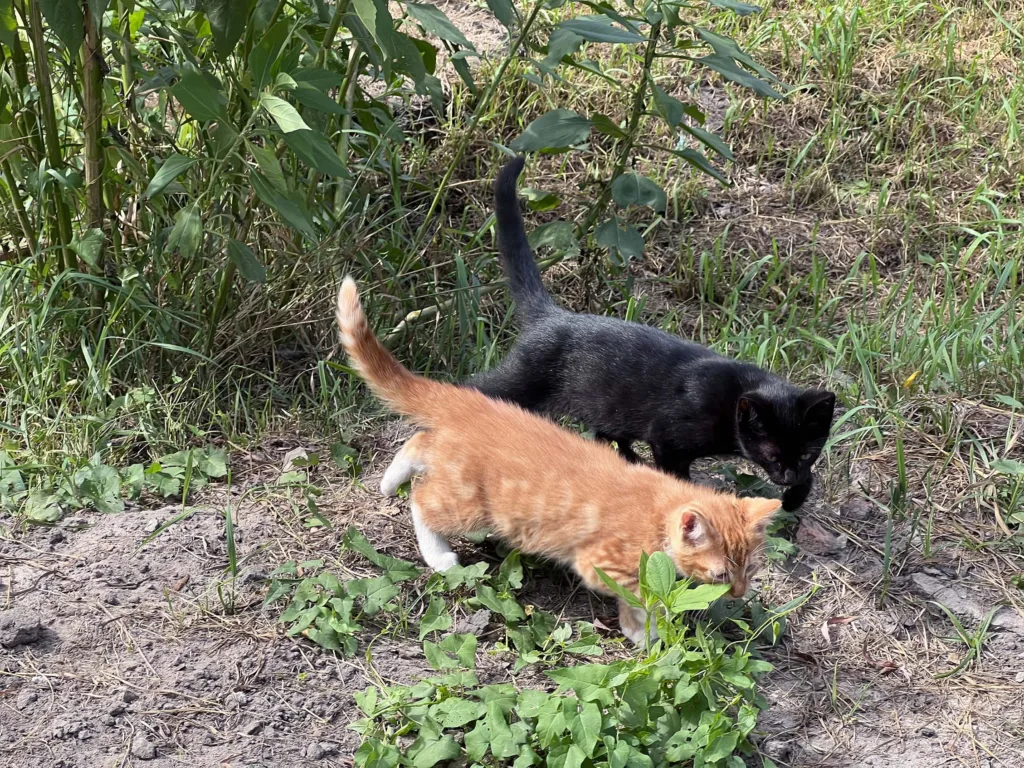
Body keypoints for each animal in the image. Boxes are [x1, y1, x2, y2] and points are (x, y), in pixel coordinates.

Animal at [335, 278, 774, 643]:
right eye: (721, 574)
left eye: (750, 571)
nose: (738, 593)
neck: (657, 509)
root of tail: (474, 405)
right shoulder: (601, 562)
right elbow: (639, 595)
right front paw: (646, 630)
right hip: (472, 506)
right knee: (423, 500)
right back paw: (436, 552)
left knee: (420, 441)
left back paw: (390, 480)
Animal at [468, 156, 835, 514]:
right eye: (772, 453)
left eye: (807, 453)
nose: (787, 476)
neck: (733, 397)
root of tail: (553, 315)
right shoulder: (668, 437)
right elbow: (676, 473)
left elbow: (811, 477)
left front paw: (796, 495)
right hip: (522, 381)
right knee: (478, 386)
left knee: (606, 434)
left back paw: (628, 462)